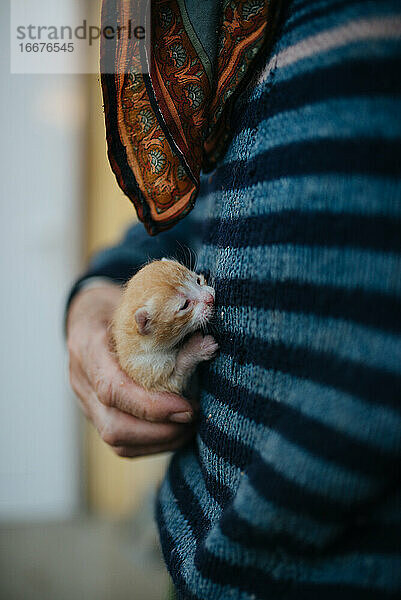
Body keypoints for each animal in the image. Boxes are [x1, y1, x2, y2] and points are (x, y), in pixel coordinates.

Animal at [112, 256, 219, 394]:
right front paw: (197, 348)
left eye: (198, 281)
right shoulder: (147, 369)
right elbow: (176, 378)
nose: (210, 298)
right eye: (185, 305)